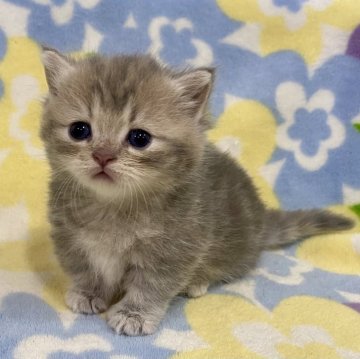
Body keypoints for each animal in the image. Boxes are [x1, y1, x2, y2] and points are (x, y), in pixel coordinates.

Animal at [40, 47, 352, 338]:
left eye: (140, 138)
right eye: (79, 130)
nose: (103, 156)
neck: (113, 207)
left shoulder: (176, 248)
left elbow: (151, 285)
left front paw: (134, 314)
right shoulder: (70, 237)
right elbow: (85, 268)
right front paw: (89, 292)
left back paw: (197, 282)